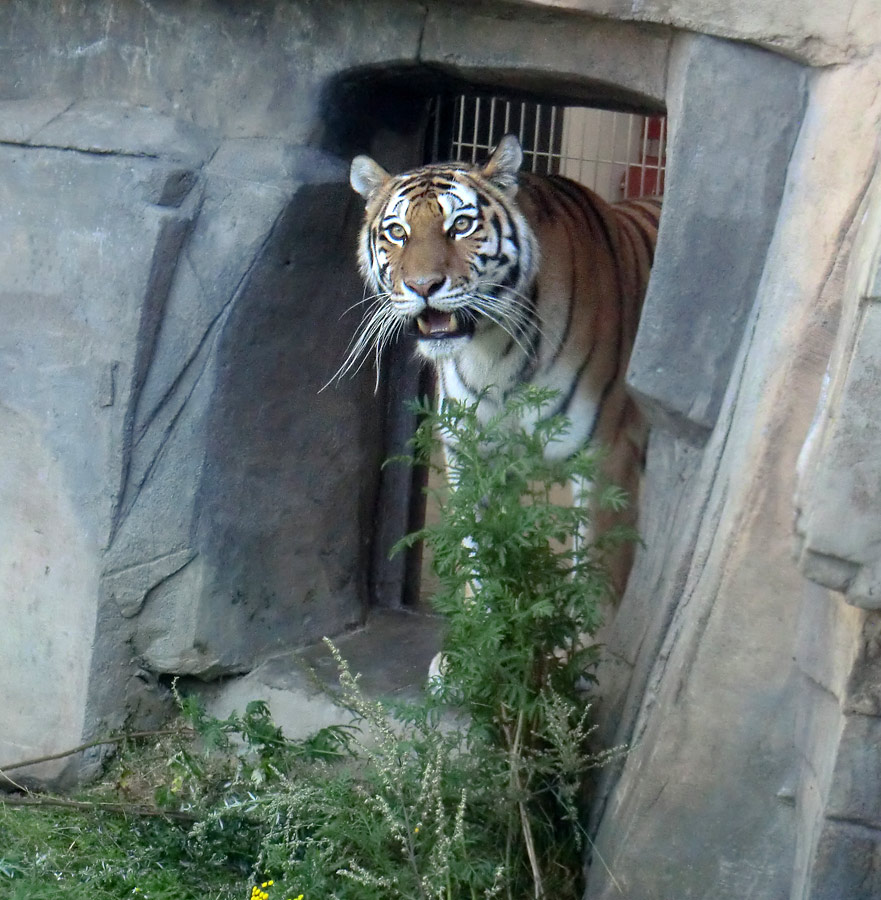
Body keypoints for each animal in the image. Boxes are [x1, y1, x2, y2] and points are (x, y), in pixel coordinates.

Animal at [344, 134, 660, 596]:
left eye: (460, 226)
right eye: (397, 232)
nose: (422, 286)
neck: (493, 352)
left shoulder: (605, 457)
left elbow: (593, 589)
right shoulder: (471, 456)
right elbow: (483, 569)